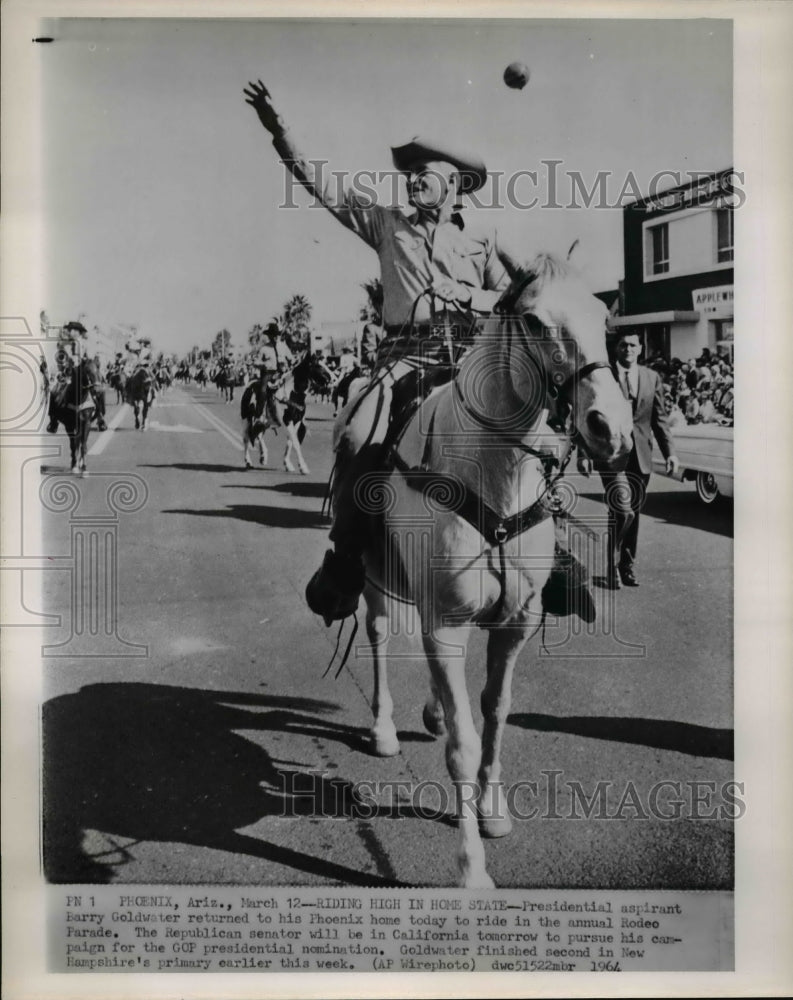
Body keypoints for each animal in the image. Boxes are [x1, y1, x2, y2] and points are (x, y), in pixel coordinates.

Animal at [332, 254, 632, 888]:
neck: (494, 471)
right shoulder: (445, 624)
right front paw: (471, 867)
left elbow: (494, 714)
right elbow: (464, 747)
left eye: (604, 317)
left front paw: (492, 811)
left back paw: (429, 711)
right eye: (536, 322)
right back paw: (385, 728)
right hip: (373, 580)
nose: (610, 428)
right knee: (378, 637)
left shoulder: (514, 622)